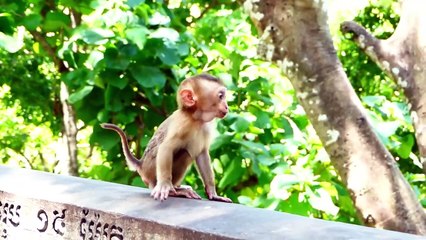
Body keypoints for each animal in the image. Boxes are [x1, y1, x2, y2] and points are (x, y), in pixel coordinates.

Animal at [101, 73, 231, 202]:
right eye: (221, 96)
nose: (227, 107)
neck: (195, 118)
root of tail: (141, 164)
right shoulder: (182, 125)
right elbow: (166, 148)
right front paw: (164, 185)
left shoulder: (206, 128)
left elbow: (202, 154)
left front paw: (213, 193)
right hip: (150, 170)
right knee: (184, 152)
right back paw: (173, 190)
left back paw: (177, 187)